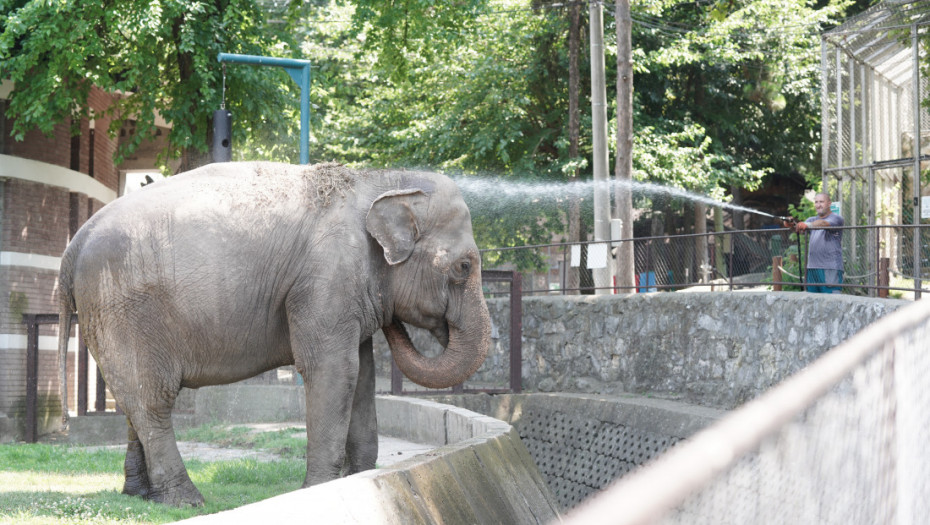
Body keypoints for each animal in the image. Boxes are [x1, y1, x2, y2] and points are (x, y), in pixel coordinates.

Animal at [56, 162, 492, 506]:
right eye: (464, 267)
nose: (392, 319)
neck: (382, 179)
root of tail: (74, 245)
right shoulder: (326, 278)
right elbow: (334, 370)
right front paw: (318, 490)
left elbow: (363, 374)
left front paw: (360, 478)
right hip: (125, 309)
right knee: (151, 401)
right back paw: (187, 501)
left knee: (133, 398)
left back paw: (141, 496)